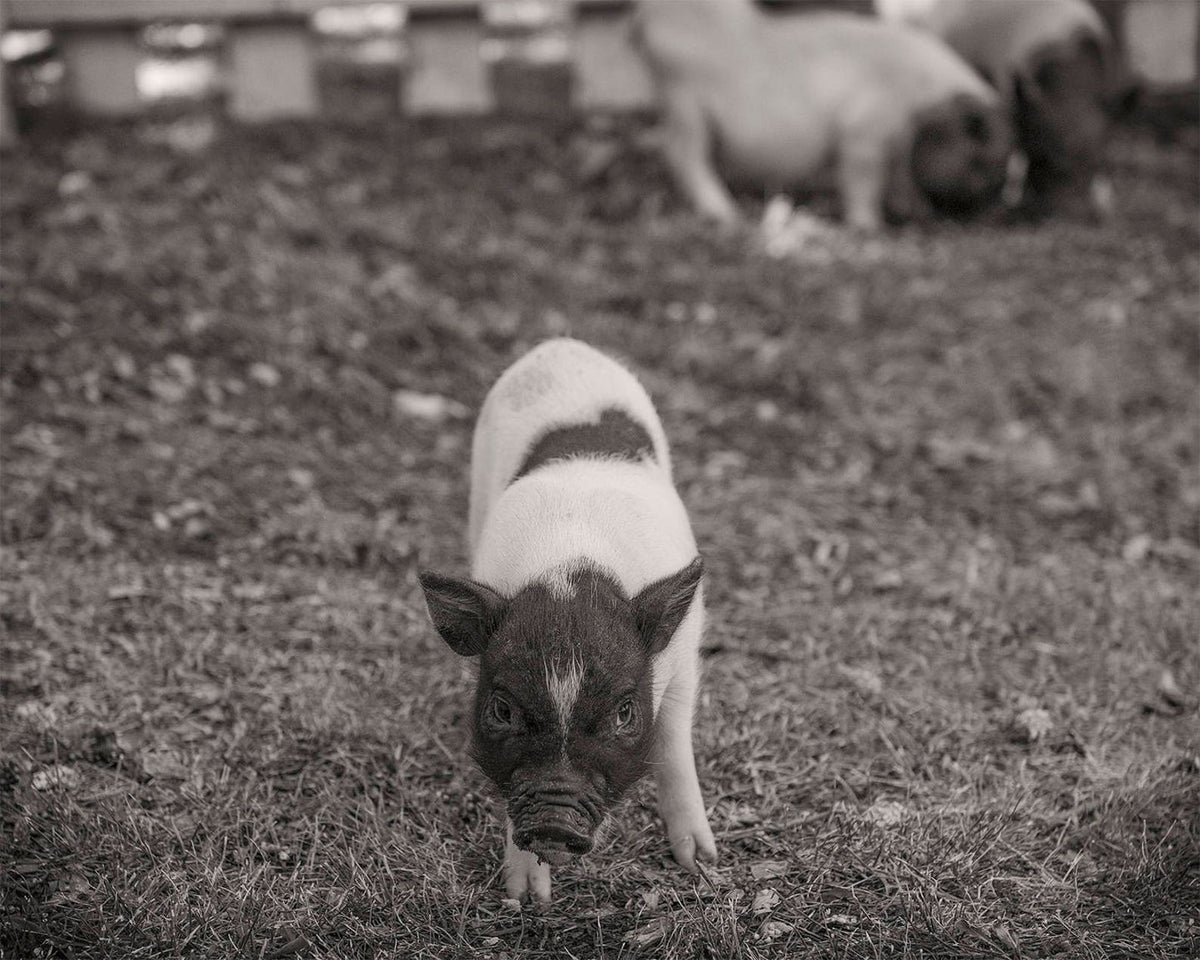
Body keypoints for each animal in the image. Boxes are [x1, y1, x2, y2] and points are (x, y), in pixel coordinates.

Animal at [418, 338, 716, 903]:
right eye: (502, 709)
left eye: (625, 713)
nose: (554, 824)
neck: (571, 575)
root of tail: (559, 345)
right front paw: (525, 898)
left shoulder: (685, 657)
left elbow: (672, 744)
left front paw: (702, 863)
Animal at [634, 0, 1011, 230]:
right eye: (982, 161)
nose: (996, 214)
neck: (923, 101)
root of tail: (649, 21)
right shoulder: (865, 133)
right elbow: (863, 180)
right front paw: (870, 227)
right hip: (685, 102)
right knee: (682, 154)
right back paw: (726, 214)